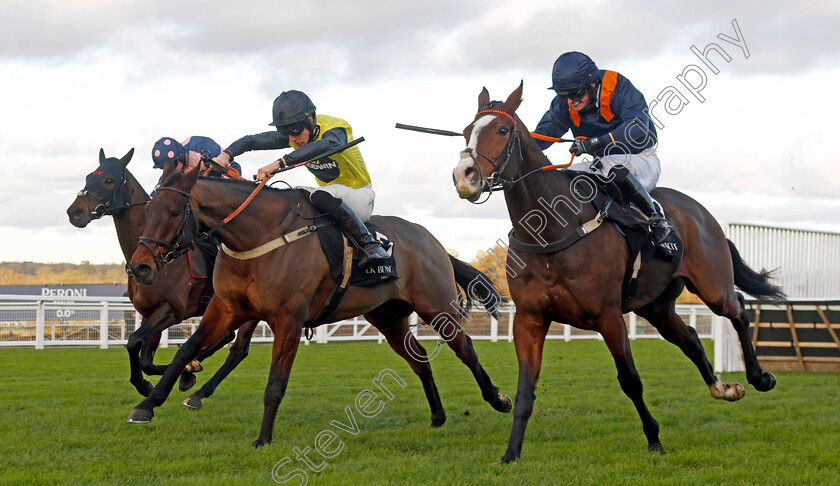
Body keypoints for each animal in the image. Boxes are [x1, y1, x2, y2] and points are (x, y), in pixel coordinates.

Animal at [66, 149, 260, 398]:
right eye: (88, 176)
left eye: (108, 180)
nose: (75, 212)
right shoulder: (149, 312)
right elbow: (146, 359)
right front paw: (170, 376)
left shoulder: (172, 310)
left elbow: (134, 341)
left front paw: (158, 380)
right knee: (227, 337)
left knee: (238, 349)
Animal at [121, 164, 508, 448]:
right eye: (148, 210)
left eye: (174, 212)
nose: (140, 267)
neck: (258, 236)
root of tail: (432, 241)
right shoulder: (226, 310)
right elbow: (185, 351)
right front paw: (147, 404)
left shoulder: (288, 320)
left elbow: (275, 383)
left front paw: (263, 439)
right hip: (388, 318)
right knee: (420, 360)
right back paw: (438, 416)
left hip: (436, 307)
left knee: (466, 349)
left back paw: (498, 398)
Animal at [450, 83, 784, 464]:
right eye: (466, 131)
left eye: (503, 130)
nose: (464, 175)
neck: (552, 229)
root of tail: (702, 212)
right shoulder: (530, 318)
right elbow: (525, 389)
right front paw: (510, 454)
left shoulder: (608, 315)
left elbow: (630, 380)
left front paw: (654, 439)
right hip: (656, 305)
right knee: (691, 337)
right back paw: (723, 388)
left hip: (713, 288)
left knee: (739, 308)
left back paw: (759, 378)